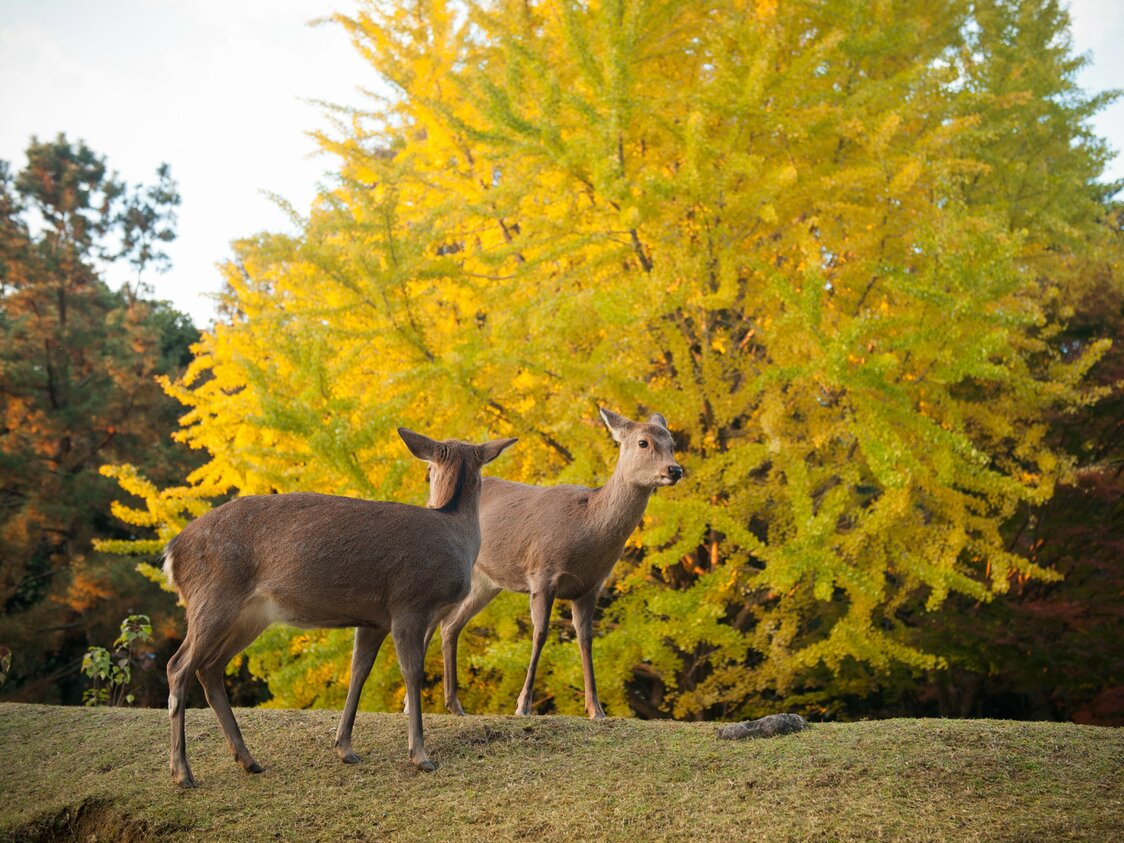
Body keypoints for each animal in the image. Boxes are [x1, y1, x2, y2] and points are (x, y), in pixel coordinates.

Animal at [162, 427, 517, 787]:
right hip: (213, 599)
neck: (455, 530)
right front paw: (420, 755)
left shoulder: (375, 619)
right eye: (428, 469)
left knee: (209, 669)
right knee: (178, 666)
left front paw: (345, 748)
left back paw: (248, 760)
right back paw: (182, 772)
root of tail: (172, 552)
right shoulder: (408, 604)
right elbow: (412, 672)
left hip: (249, 616)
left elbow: (359, 671)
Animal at [418, 408, 683, 720]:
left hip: (486, 583)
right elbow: (541, 634)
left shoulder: (591, 587)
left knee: (449, 625)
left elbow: (586, 639)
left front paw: (596, 709)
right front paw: (523, 706)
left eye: (672, 444)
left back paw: (454, 705)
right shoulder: (542, 573)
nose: (675, 470)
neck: (586, 531)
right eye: (643, 442)